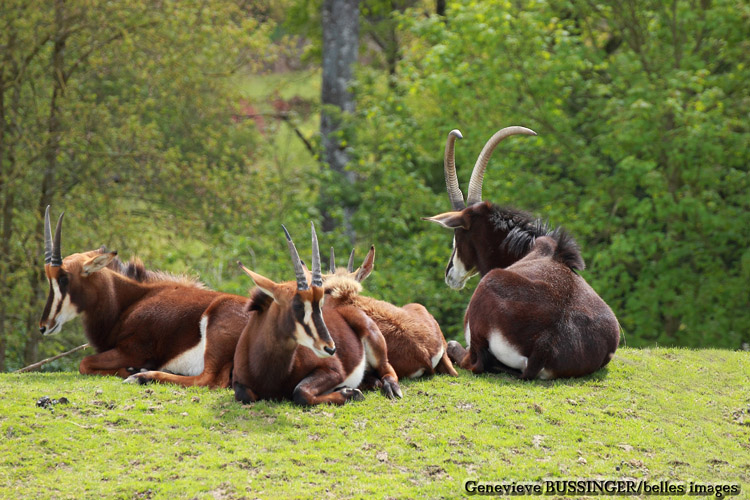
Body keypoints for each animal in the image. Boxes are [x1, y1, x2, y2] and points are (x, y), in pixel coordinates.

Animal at [39, 205, 250, 388]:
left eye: (64, 279)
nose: (43, 326)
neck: (131, 302)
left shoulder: (132, 350)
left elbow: (85, 363)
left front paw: (134, 371)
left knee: (209, 380)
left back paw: (142, 377)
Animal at [232, 225, 402, 404]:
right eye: (297, 305)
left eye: (320, 304)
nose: (330, 348)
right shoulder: (238, 383)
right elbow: (244, 395)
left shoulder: (333, 370)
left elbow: (301, 392)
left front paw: (351, 393)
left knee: (386, 368)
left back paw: (390, 387)